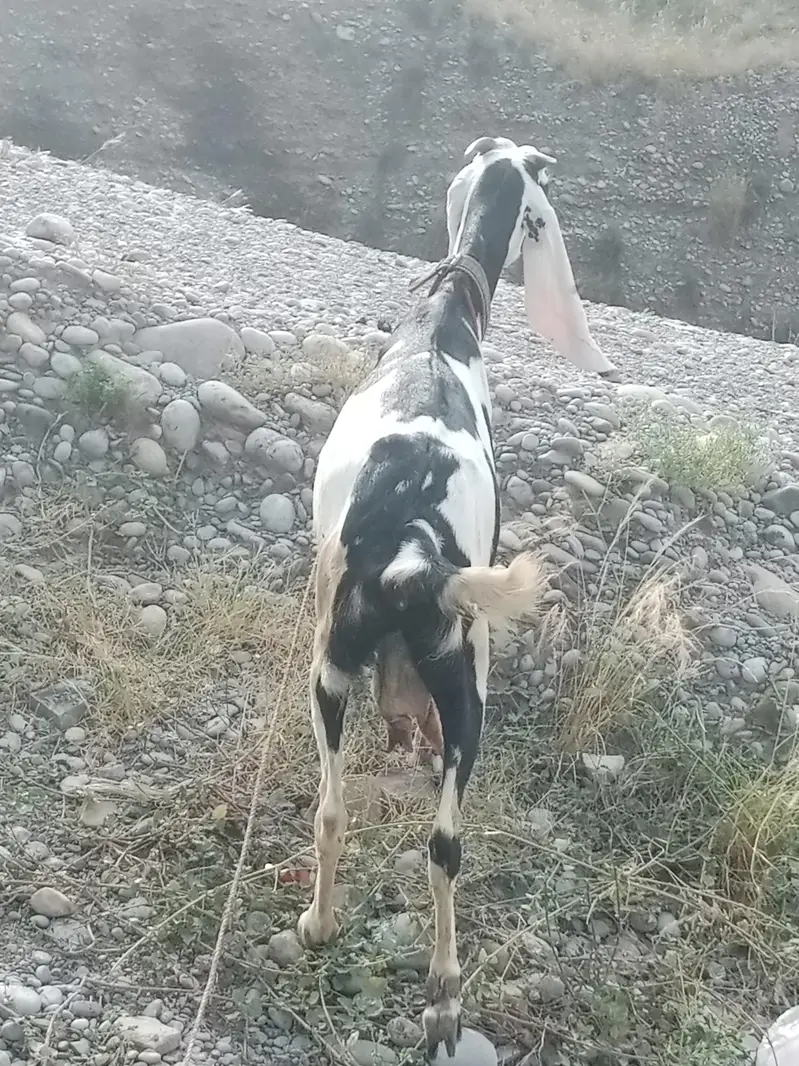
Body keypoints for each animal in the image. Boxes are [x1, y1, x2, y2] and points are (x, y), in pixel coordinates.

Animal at [298, 135, 612, 1060]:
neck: (440, 326)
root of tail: (411, 549)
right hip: (465, 689)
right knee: (442, 841)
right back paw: (441, 993)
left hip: (329, 676)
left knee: (333, 810)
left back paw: (321, 925)